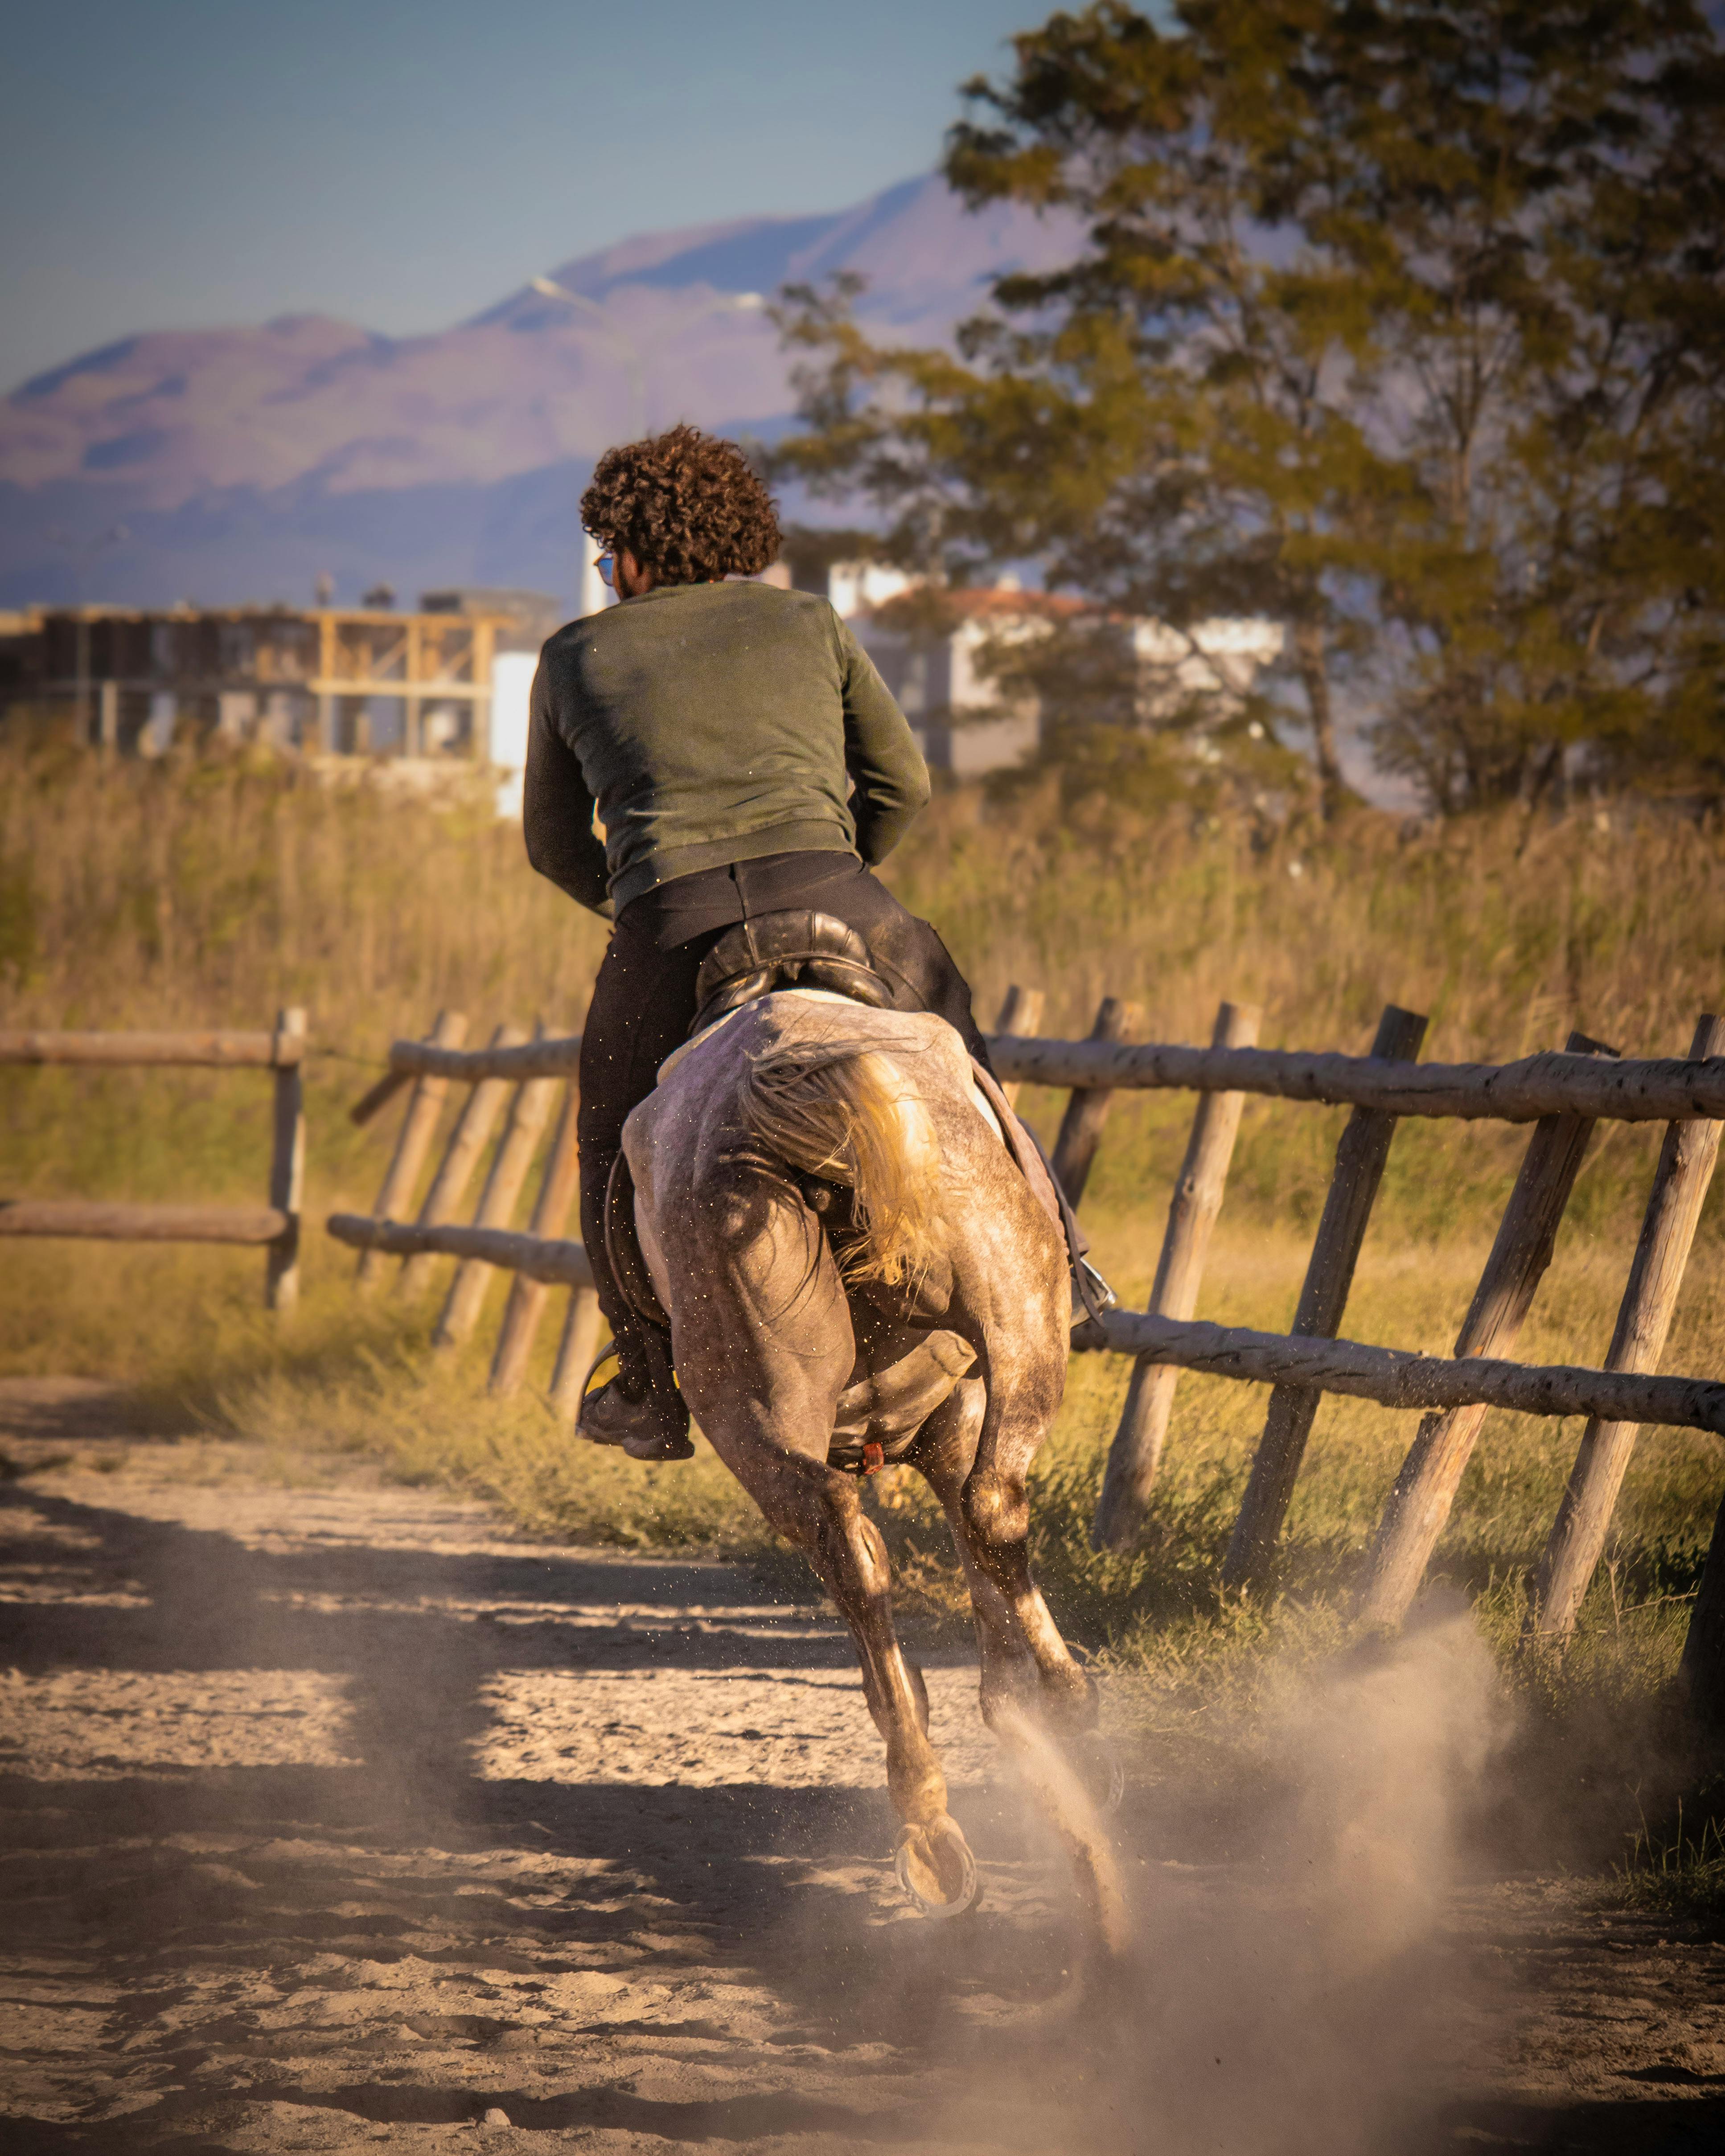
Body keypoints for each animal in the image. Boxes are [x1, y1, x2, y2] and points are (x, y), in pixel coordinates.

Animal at [612, 961, 1121, 1940]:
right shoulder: (958, 1413)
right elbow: (978, 1552)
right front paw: (1020, 1709)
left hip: (777, 1421)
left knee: (858, 1555)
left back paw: (935, 1815)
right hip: (1015, 1329)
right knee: (984, 1509)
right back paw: (1053, 1723)